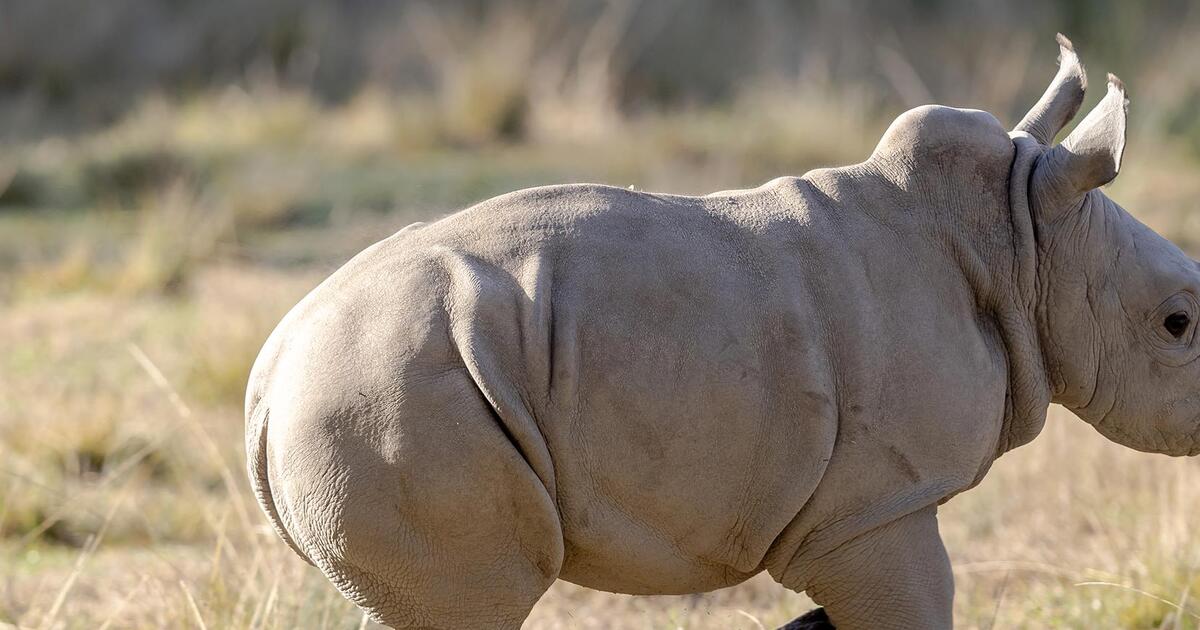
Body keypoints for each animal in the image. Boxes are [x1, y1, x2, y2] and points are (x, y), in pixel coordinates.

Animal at [245, 35, 1197, 629]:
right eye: (1178, 324)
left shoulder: (857, 511)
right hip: (394, 399)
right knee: (468, 602)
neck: (1025, 239)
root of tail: (269, 378)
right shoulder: (873, 508)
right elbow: (921, 604)